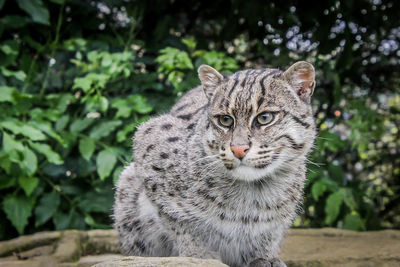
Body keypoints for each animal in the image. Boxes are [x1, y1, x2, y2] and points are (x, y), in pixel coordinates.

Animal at [112, 61, 316, 266]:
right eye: (225, 120)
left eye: (265, 117)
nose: (238, 149)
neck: (253, 189)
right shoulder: (148, 141)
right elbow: (180, 221)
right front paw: (198, 256)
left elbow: (269, 231)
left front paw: (263, 257)